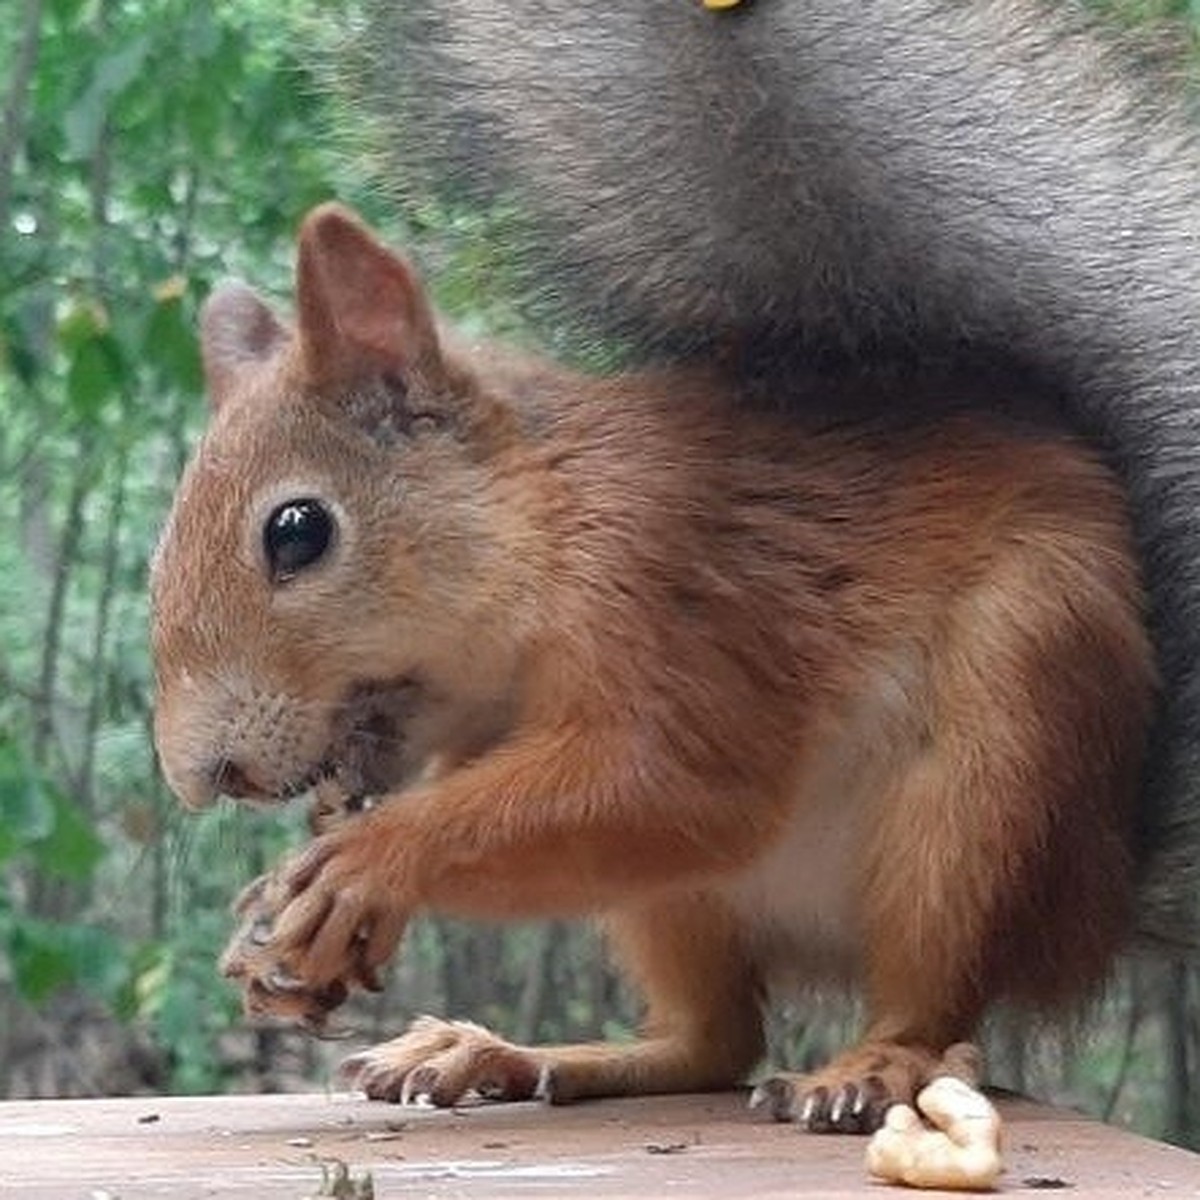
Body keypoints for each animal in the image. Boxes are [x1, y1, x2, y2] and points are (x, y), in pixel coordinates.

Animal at [150, 206, 1152, 1132]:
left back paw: (875, 1066)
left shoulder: (669, 579)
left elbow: (678, 783)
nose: (205, 776)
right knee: (712, 1042)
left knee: (926, 985)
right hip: (673, 904)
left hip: (996, 751)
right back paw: (511, 1054)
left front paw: (363, 863)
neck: (550, 525)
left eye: (298, 531)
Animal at [338, 0, 1200, 945]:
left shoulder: (665, 614)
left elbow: (669, 786)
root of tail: (1110, 877)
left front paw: (371, 856)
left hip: (1003, 730)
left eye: (305, 536)